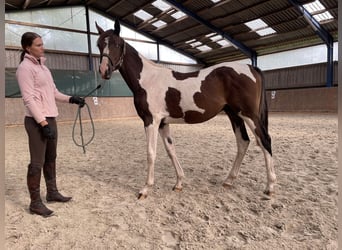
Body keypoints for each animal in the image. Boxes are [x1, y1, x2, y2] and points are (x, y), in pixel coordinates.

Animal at [95, 19, 276, 199]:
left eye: (117, 44)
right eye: (98, 44)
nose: (104, 70)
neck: (148, 80)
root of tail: (251, 68)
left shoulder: (151, 121)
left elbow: (151, 153)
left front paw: (145, 189)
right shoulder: (163, 123)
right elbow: (171, 150)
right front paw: (179, 183)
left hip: (249, 115)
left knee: (264, 140)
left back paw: (270, 186)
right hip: (235, 114)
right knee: (243, 142)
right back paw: (229, 180)